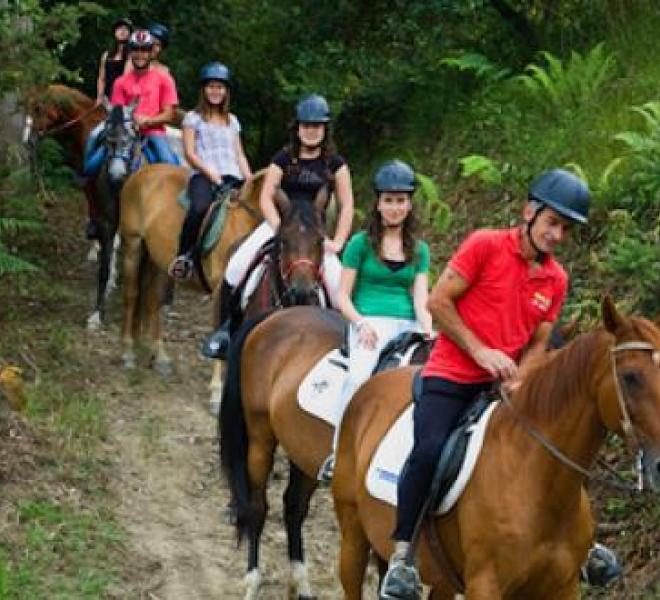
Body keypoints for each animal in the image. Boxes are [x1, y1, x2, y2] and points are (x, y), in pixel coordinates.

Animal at [219, 305, 431, 599]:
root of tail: (276, 315)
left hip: (303, 452)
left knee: (294, 508)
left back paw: (301, 584)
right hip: (261, 438)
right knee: (257, 508)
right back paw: (252, 582)